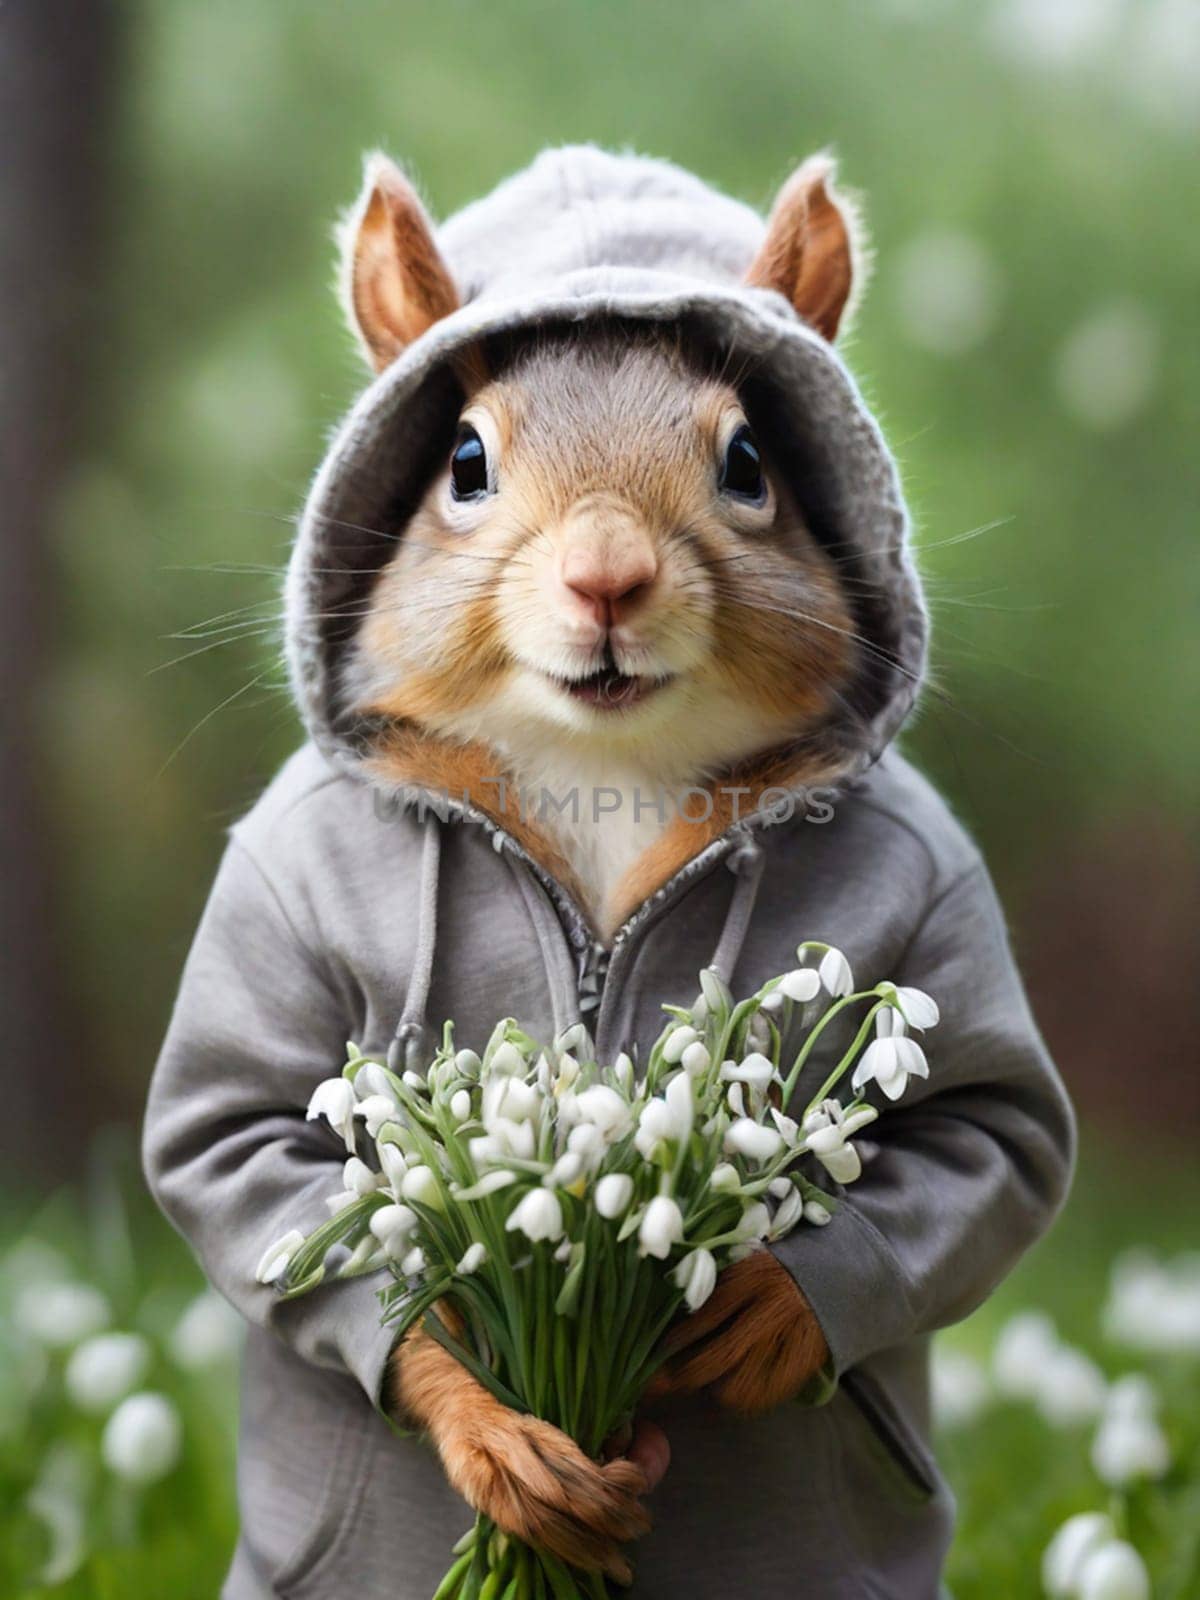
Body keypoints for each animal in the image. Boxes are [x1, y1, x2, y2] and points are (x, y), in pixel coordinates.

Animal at [340, 152, 857, 1587]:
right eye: (462, 461)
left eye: (750, 461)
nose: (609, 575)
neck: (603, 768)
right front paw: (505, 1446)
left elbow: (999, 1128)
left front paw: (767, 1318)